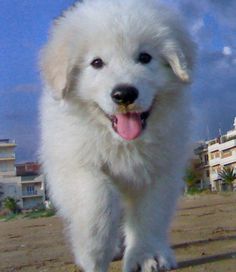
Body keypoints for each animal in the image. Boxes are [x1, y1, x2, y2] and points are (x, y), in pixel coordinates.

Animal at [39, 1, 195, 270]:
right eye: (97, 63)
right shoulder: (73, 162)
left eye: (145, 57)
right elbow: (98, 201)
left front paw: (147, 256)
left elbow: (150, 214)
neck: (122, 143)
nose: (124, 94)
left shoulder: (160, 169)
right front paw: (93, 254)